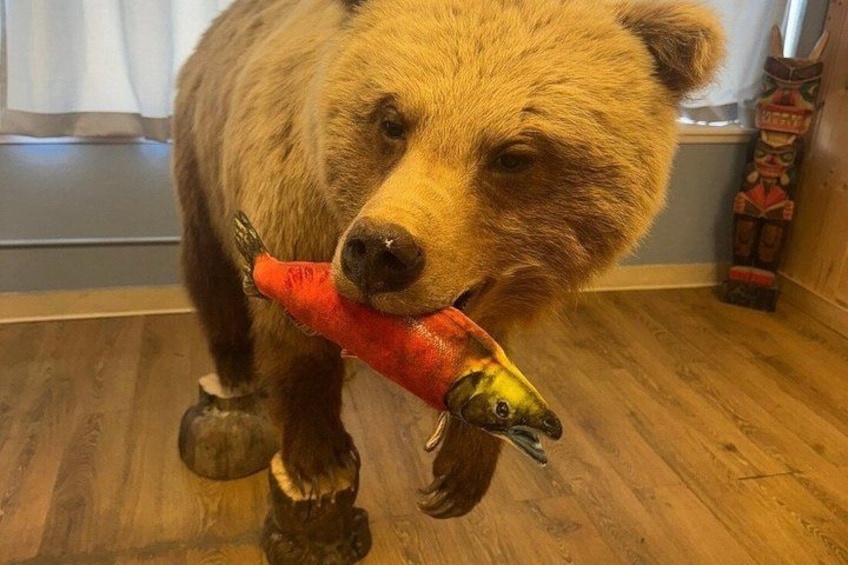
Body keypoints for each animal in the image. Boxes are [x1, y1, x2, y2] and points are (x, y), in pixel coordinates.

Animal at [173, 0, 723, 559]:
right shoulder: (294, 208)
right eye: (391, 122)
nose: (381, 252)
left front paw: (459, 475)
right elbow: (294, 343)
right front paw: (320, 460)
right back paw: (237, 375)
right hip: (200, 150)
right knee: (210, 274)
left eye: (514, 155)